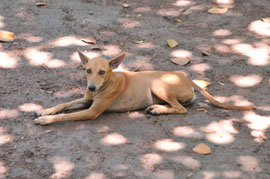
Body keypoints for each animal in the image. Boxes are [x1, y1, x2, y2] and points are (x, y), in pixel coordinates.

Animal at [33, 49, 255, 124]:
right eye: (87, 70)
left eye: (102, 72)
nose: (92, 88)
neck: (109, 82)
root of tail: (188, 78)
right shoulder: (86, 100)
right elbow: (63, 106)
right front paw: (45, 110)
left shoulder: (92, 111)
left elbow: (65, 115)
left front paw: (45, 120)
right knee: (179, 106)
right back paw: (156, 107)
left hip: (158, 84)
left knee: (180, 109)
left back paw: (158, 109)